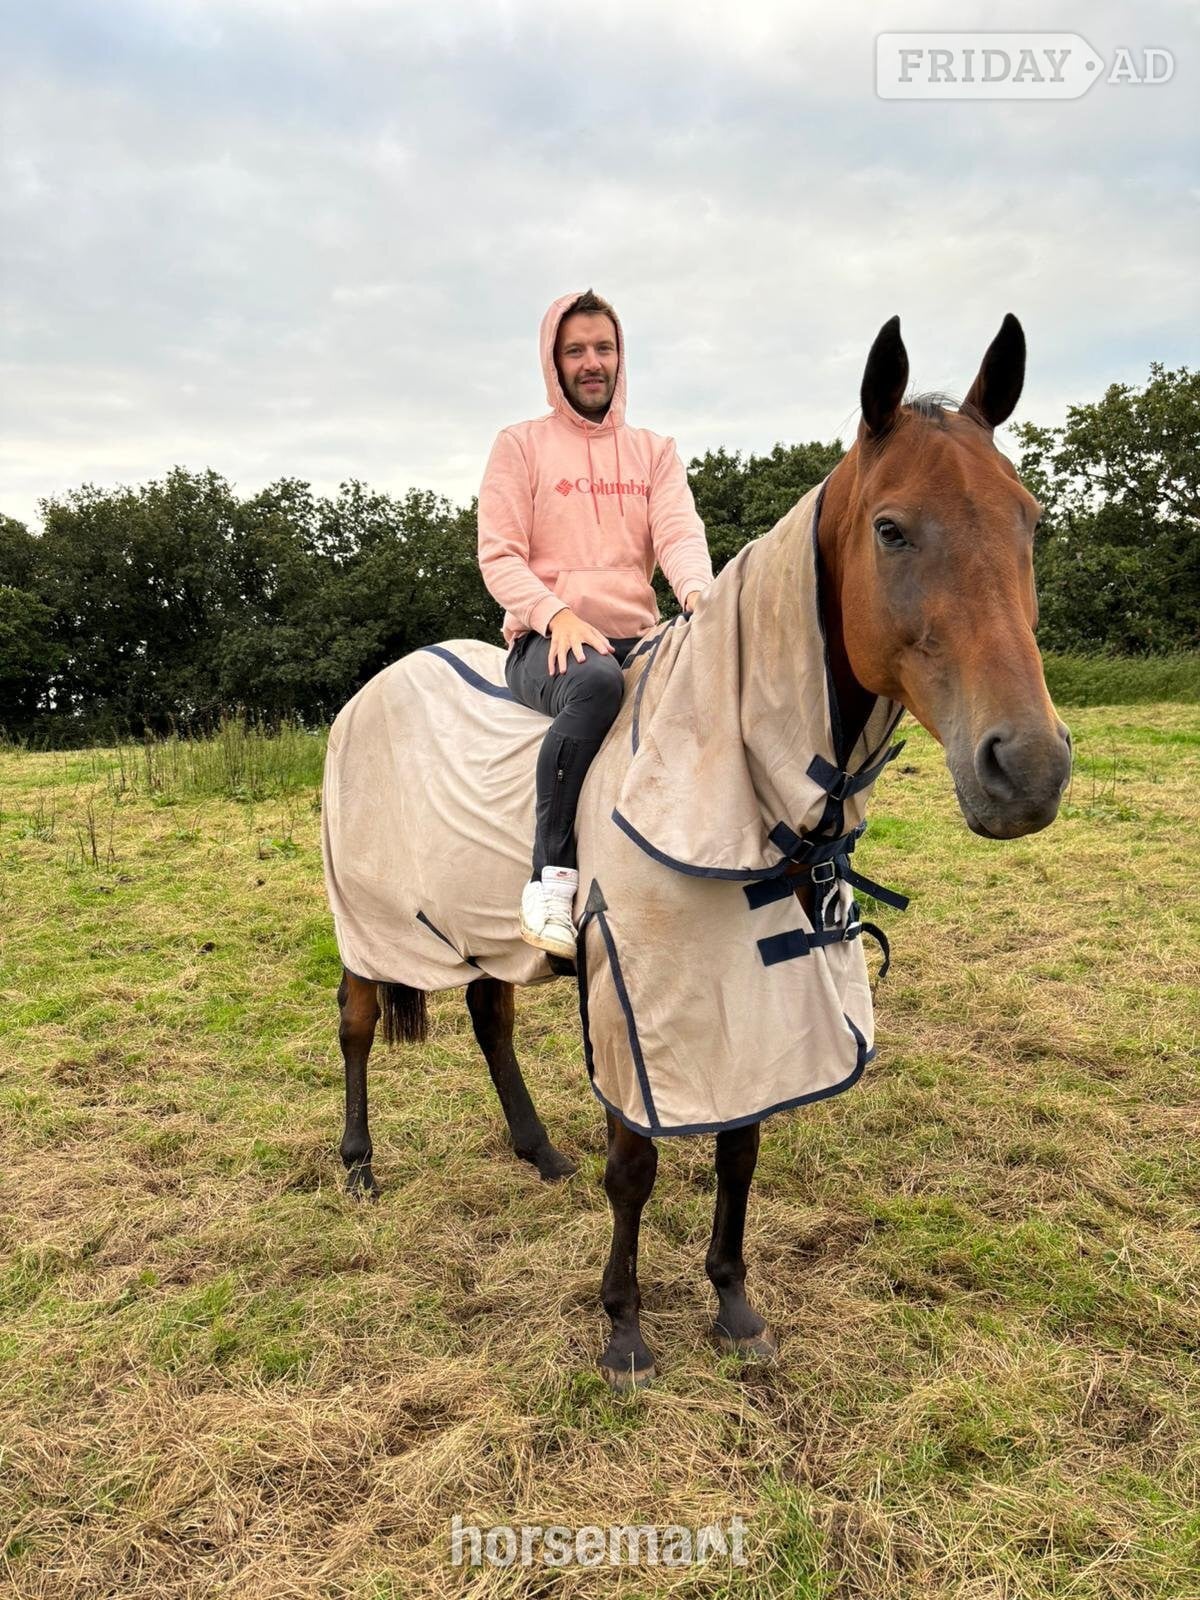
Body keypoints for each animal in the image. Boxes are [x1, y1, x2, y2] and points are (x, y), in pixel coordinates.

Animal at [323, 314, 1071, 1390]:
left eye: (1030, 522)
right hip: (368, 921)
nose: (1030, 767)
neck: (731, 781)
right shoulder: (638, 997)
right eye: (891, 528)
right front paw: (625, 1330)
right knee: (354, 1027)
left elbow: (740, 1149)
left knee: (489, 1017)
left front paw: (734, 1305)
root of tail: (366, 695)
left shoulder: (754, 999)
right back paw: (358, 1165)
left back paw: (536, 1151)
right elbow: (635, 1166)